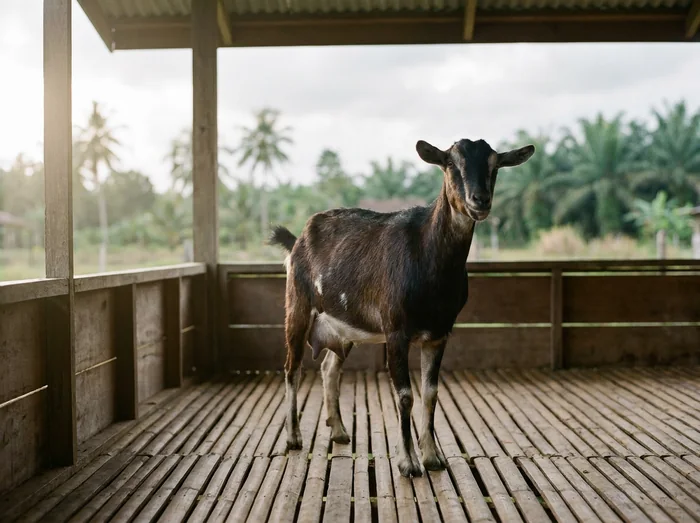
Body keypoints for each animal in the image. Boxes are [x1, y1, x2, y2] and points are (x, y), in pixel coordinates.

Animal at [270, 137, 535, 477]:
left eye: (495, 165)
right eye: (450, 163)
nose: (480, 200)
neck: (428, 255)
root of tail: (297, 240)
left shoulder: (439, 333)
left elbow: (431, 393)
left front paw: (432, 457)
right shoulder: (396, 331)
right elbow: (405, 394)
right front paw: (408, 462)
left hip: (345, 325)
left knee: (330, 368)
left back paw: (340, 431)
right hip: (298, 306)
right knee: (292, 367)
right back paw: (293, 438)